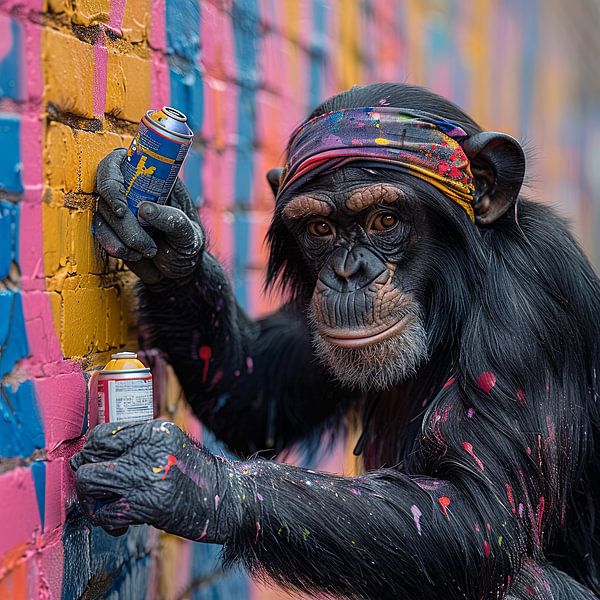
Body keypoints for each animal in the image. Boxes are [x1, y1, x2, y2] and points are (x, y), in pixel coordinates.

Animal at [70, 82, 600, 596]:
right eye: (320, 228)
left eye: (385, 220)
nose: (348, 274)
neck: (456, 288)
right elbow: (256, 392)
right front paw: (169, 232)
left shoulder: (530, 300)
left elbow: (478, 513)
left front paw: (181, 479)